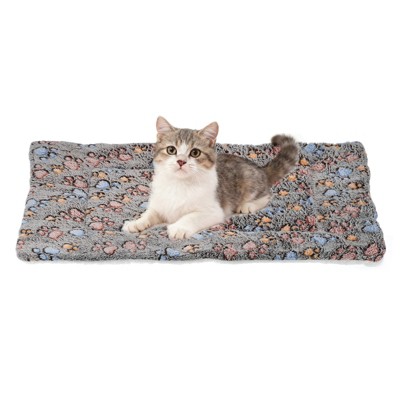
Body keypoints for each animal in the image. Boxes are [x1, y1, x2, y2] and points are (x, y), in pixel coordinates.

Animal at [122, 116, 299, 239]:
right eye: (171, 150)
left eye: (195, 152)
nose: (181, 161)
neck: (179, 184)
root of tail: (260, 168)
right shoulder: (159, 204)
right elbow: (149, 213)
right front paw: (136, 222)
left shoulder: (213, 211)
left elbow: (191, 216)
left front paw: (179, 227)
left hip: (250, 180)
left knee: (267, 195)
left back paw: (247, 205)